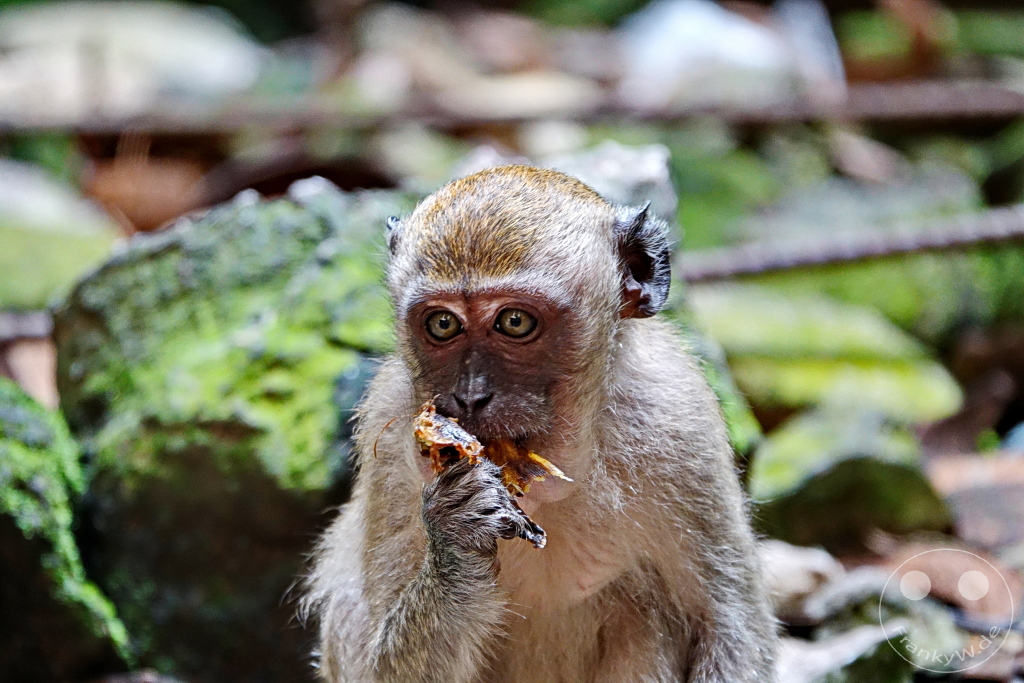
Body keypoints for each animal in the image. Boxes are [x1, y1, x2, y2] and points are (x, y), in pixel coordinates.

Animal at [302, 165, 776, 682]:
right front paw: (455, 538)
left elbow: (728, 624)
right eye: (443, 324)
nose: (470, 396)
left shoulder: (679, 418)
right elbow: (371, 666)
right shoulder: (388, 436)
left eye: (514, 321)